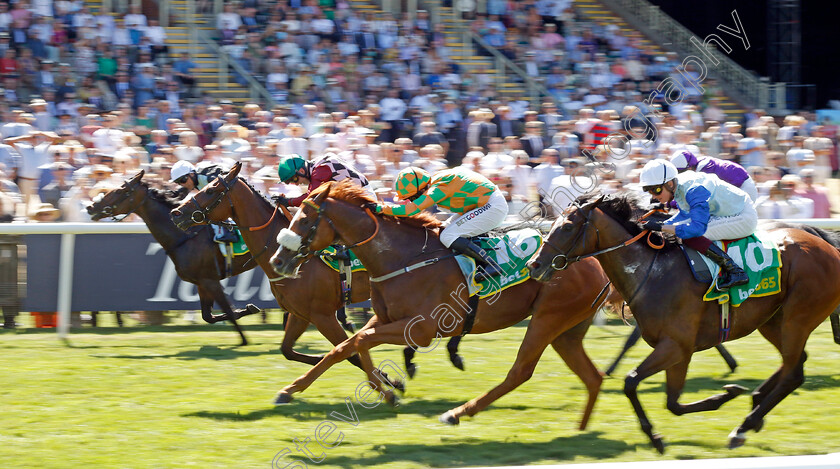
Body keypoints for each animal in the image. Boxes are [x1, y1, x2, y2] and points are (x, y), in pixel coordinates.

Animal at [270, 179, 612, 428]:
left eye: (304, 220)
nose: (277, 260)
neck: (404, 258)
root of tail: (592, 260)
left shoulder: (421, 329)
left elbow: (359, 342)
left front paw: (390, 390)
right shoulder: (382, 319)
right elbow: (344, 347)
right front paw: (290, 390)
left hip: (547, 318)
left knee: (521, 371)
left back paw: (457, 413)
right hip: (566, 331)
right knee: (592, 376)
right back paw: (582, 428)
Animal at [528, 192, 840, 452]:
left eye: (568, 226)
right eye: (553, 223)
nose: (534, 265)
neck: (653, 270)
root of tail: (826, 244)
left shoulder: (676, 346)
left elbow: (631, 382)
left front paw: (655, 437)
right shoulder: (678, 351)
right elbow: (673, 403)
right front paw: (725, 395)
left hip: (797, 318)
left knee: (793, 373)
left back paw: (744, 426)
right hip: (773, 321)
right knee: (794, 362)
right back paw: (755, 403)